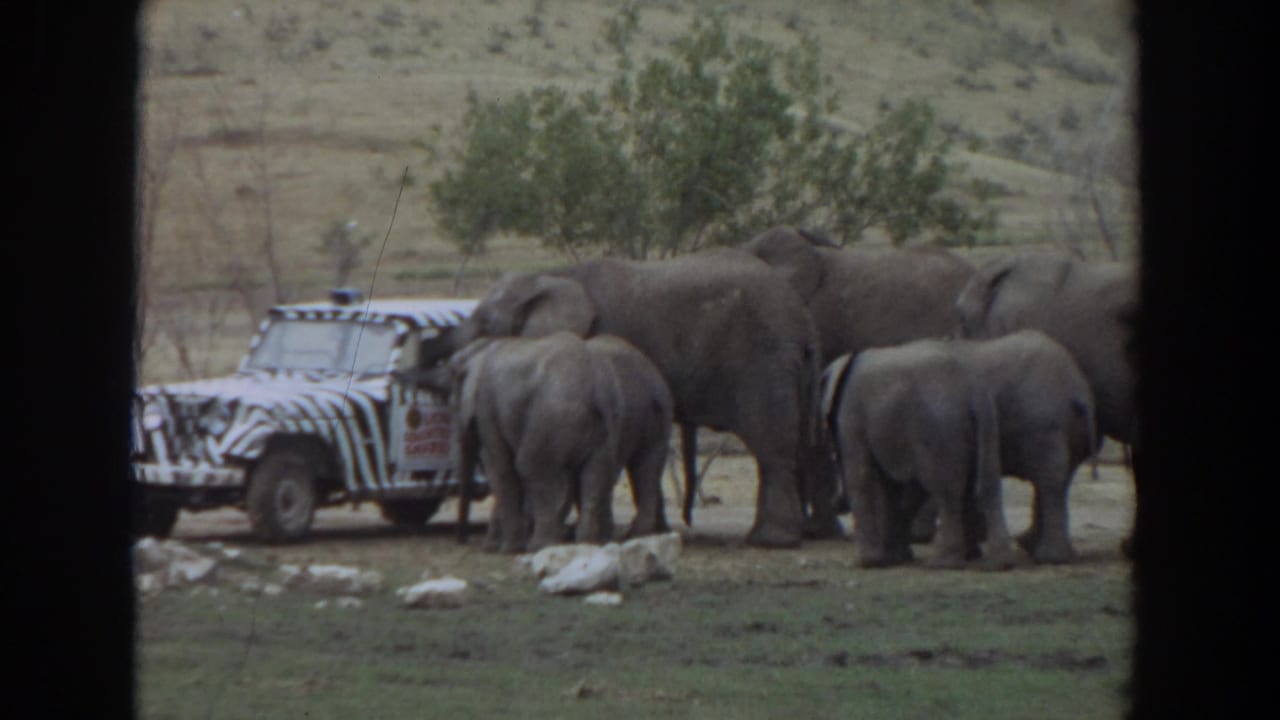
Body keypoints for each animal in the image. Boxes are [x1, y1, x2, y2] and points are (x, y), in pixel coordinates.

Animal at [437, 332, 674, 554]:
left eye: (452, 404)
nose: (461, 540)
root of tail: (598, 388)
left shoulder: (487, 408)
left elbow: (501, 469)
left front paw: (503, 549)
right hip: (620, 420)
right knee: (623, 470)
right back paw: (597, 540)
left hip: (551, 416)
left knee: (531, 466)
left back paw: (541, 545)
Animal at [824, 341, 1015, 569]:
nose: (836, 504)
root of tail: (972, 389)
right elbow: (893, 487)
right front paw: (892, 558)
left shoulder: (851, 413)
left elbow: (862, 477)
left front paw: (869, 563)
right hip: (986, 422)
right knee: (987, 485)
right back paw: (997, 564)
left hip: (939, 428)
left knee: (946, 492)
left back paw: (942, 563)